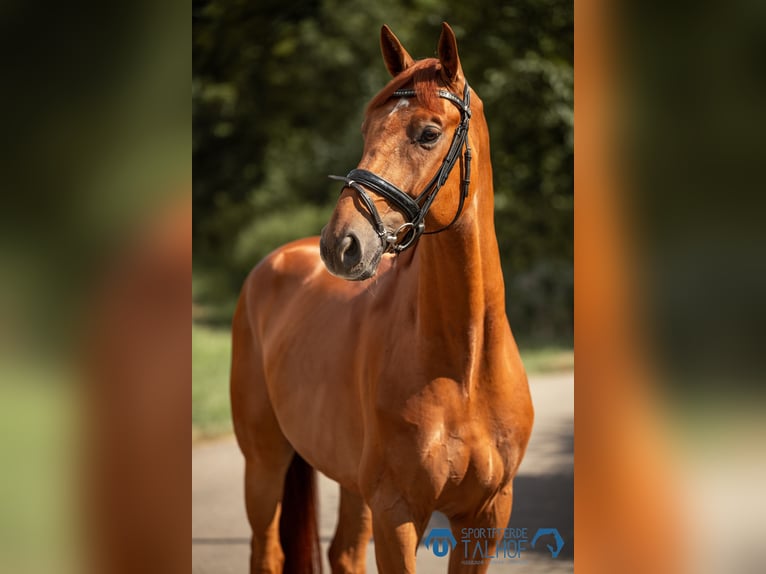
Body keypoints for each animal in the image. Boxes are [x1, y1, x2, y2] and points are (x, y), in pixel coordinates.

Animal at [231, 23, 536, 574]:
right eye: (366, 129)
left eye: (429, 133)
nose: (341, 244)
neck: (464, 366)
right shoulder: (398, 513)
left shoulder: (486, 516)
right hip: (264, 464)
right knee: (266, 550)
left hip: (352, 483)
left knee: (343, 552)